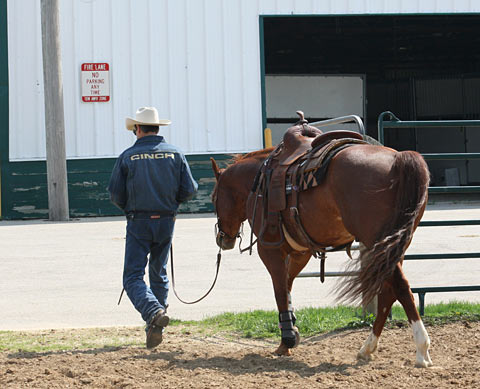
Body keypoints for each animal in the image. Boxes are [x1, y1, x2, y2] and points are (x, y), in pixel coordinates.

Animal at [210, 119, 432, 368]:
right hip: (393, 246)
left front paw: (287, 340)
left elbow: (280, 291)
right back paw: (367, 348)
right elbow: (287, 286)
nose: (223, 238)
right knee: (388, 292)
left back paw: (421, 350)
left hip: (378, 243)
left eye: (214, 197)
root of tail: (398, 160)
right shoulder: (300, 251)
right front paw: (289, 334)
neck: (259, 182)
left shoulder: (269, 249)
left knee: (401, 288)